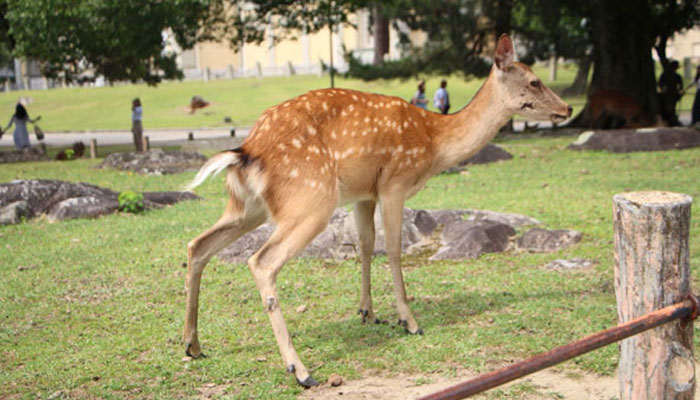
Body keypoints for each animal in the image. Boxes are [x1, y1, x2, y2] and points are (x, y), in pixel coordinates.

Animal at [183, 35, 572, 388]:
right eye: (534, 80)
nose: (567, 109)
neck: (435, 143)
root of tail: (246, 151)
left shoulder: (363, 194)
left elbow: (367, 246)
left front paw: (367, 312)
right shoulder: (394, 183)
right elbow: (395, 249)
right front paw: (408, 321)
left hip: (248, 206)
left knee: (197, 245)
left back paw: (192, 344)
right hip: (310, 199)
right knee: (261, 261)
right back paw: (301, 371)